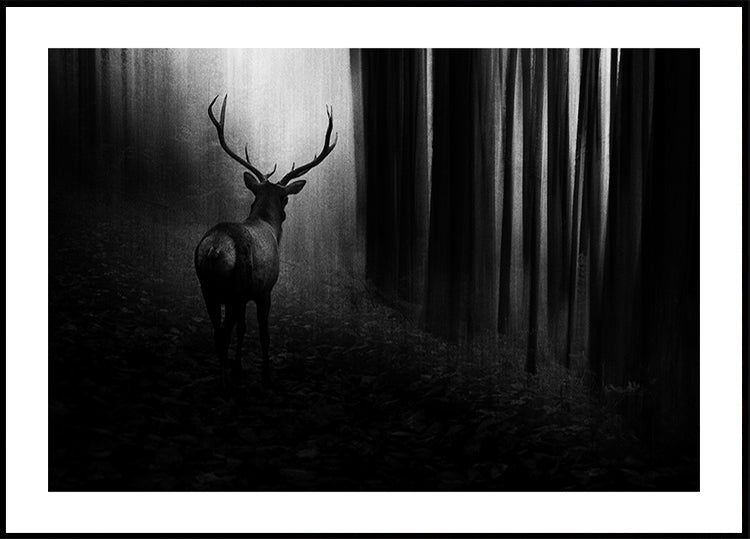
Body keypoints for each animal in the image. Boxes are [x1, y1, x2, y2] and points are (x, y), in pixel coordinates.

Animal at [195, 95, 337, 387]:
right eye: (285, 198)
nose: (285, 211)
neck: (267, 225)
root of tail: (214, 250)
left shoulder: (246, 295)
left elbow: (243, 330)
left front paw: (239, 365)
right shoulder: (264, 290)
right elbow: (263, 334)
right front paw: (266, 372)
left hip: (208, 287)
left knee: (218, 331)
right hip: (236, 288)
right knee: (223, 333)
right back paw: (224, 381)